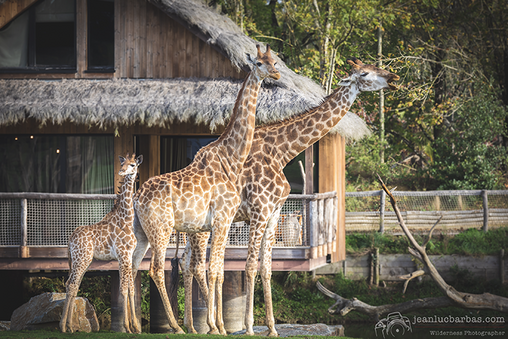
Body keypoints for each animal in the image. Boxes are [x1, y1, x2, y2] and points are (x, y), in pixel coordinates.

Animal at [60, 154, 143, 334]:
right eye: (122, 163)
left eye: (132, 164)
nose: (122, 171)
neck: (126, 219)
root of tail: (70, 239)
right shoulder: (123, 255)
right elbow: (123, 289)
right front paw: (127, 327)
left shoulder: (128, 256)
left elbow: (131, 289)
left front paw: (135, 327)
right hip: (81, 258)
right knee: (72, 284)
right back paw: (63, 326)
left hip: (83, 260)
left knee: (73, 285)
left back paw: (69, 326)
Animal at [131, 44, 280, 334]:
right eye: (259, 63)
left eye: (275, 61)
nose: (277, 75)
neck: (231, 160)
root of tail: (136, 199)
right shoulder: (222, 219)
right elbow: (213, 270)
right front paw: (214, 326)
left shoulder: (218, 223)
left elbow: (217, 269)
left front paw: (217, 325)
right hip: (161, 229)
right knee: (155, 269)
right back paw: (175, 327)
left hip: (143, 232)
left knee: (131, 266)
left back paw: (131, 326)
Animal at [181, 58, 398, 338]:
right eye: (364, 74)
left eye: (374, 67)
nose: (392, 77)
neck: (281, 151)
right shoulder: (259, 210)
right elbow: (250, 266)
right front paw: (249, 327)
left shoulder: (272, 212)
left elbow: (266, 267)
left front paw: (272, 328)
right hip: (205, 226)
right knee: (199, 265)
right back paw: (211, 326)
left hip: (195, 227)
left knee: (187, 263)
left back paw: (189, 325)